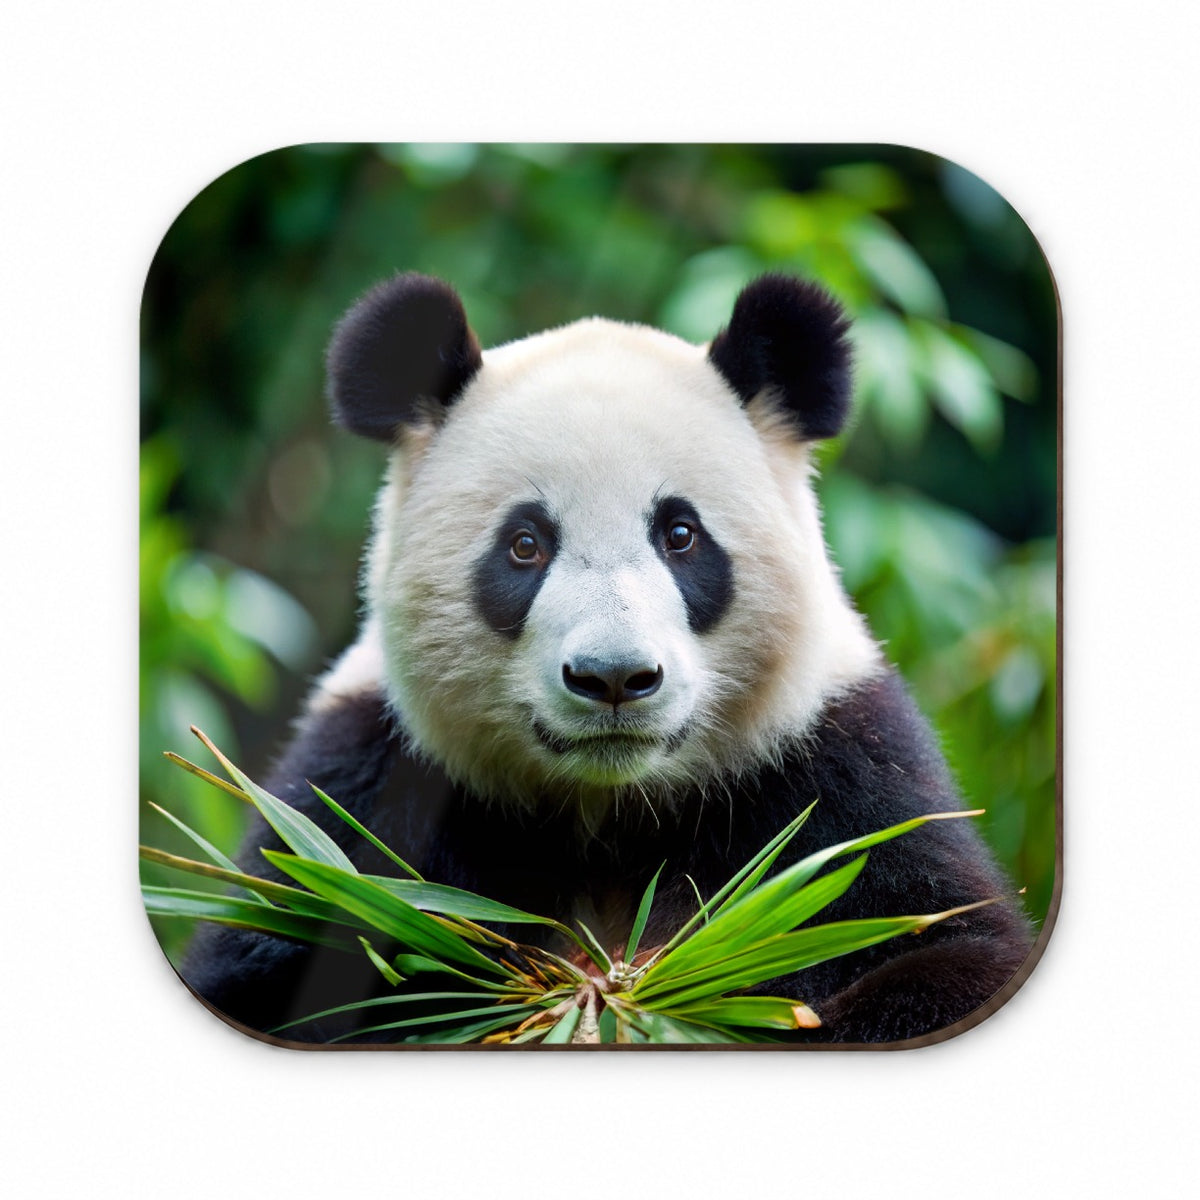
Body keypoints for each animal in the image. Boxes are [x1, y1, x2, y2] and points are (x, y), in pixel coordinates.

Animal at [182, 271, 1034, 1045]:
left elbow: (939, 951)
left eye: (680, 534)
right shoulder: (370, 787)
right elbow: (276, 966)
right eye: (525, 545)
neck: (608, 815)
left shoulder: (836, 776)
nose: (614, 677)